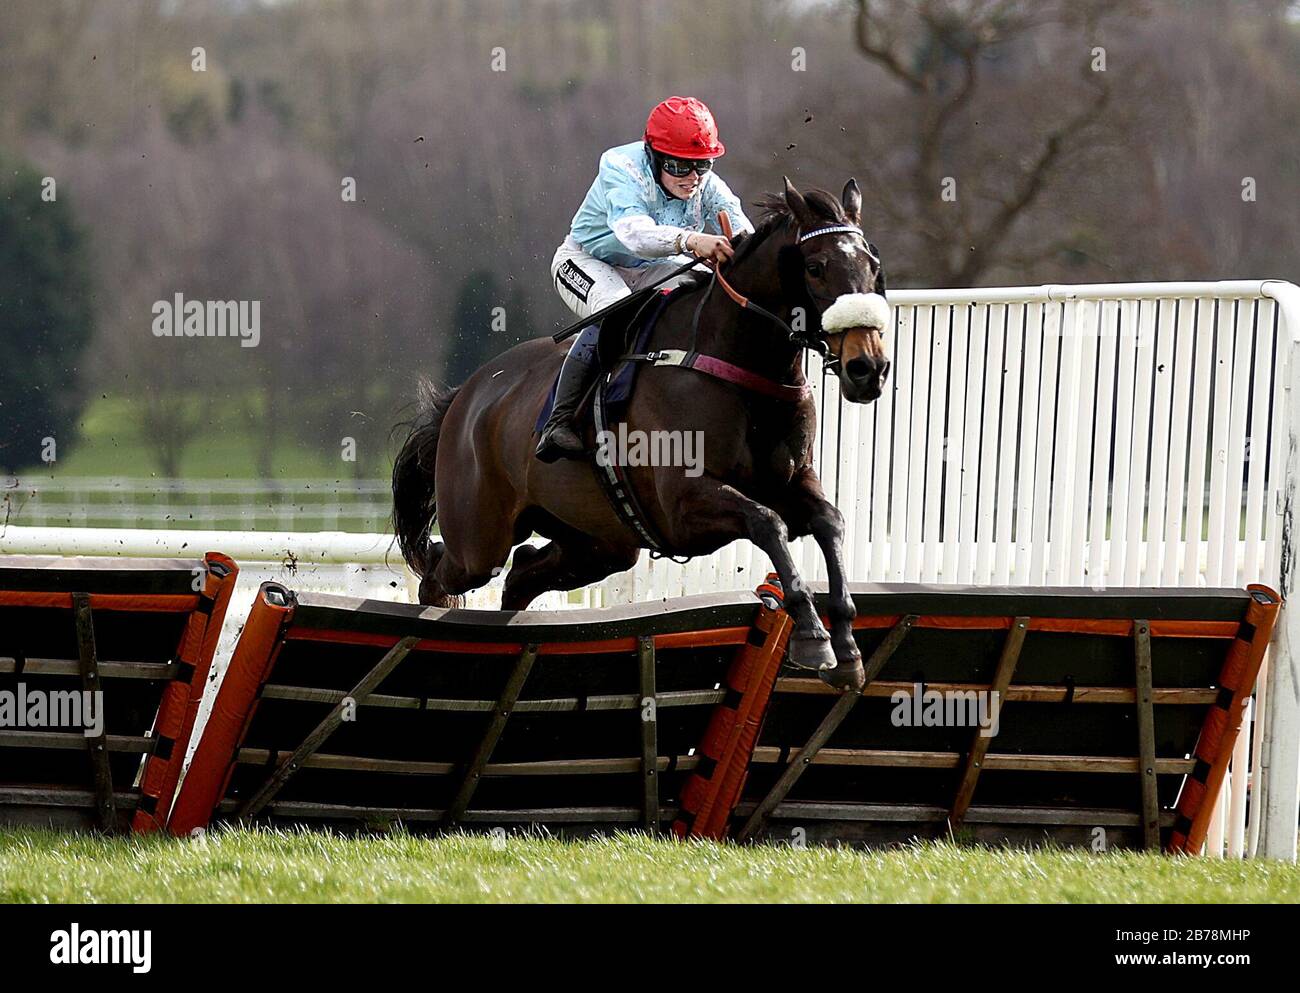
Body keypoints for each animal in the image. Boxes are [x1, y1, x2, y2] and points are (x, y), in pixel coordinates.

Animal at [390, 178, 889, 691]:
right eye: (816, 267)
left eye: (873, 265)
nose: (867, 367)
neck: (735, 361)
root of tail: (466, 395)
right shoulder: (683, 505)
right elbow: (767, 523)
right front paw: (812, 635)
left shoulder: (789, 483)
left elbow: (829, 522)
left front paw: (846, 646)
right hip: (479, 539)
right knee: (439, 574)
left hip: (599, 543)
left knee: (522, 574)